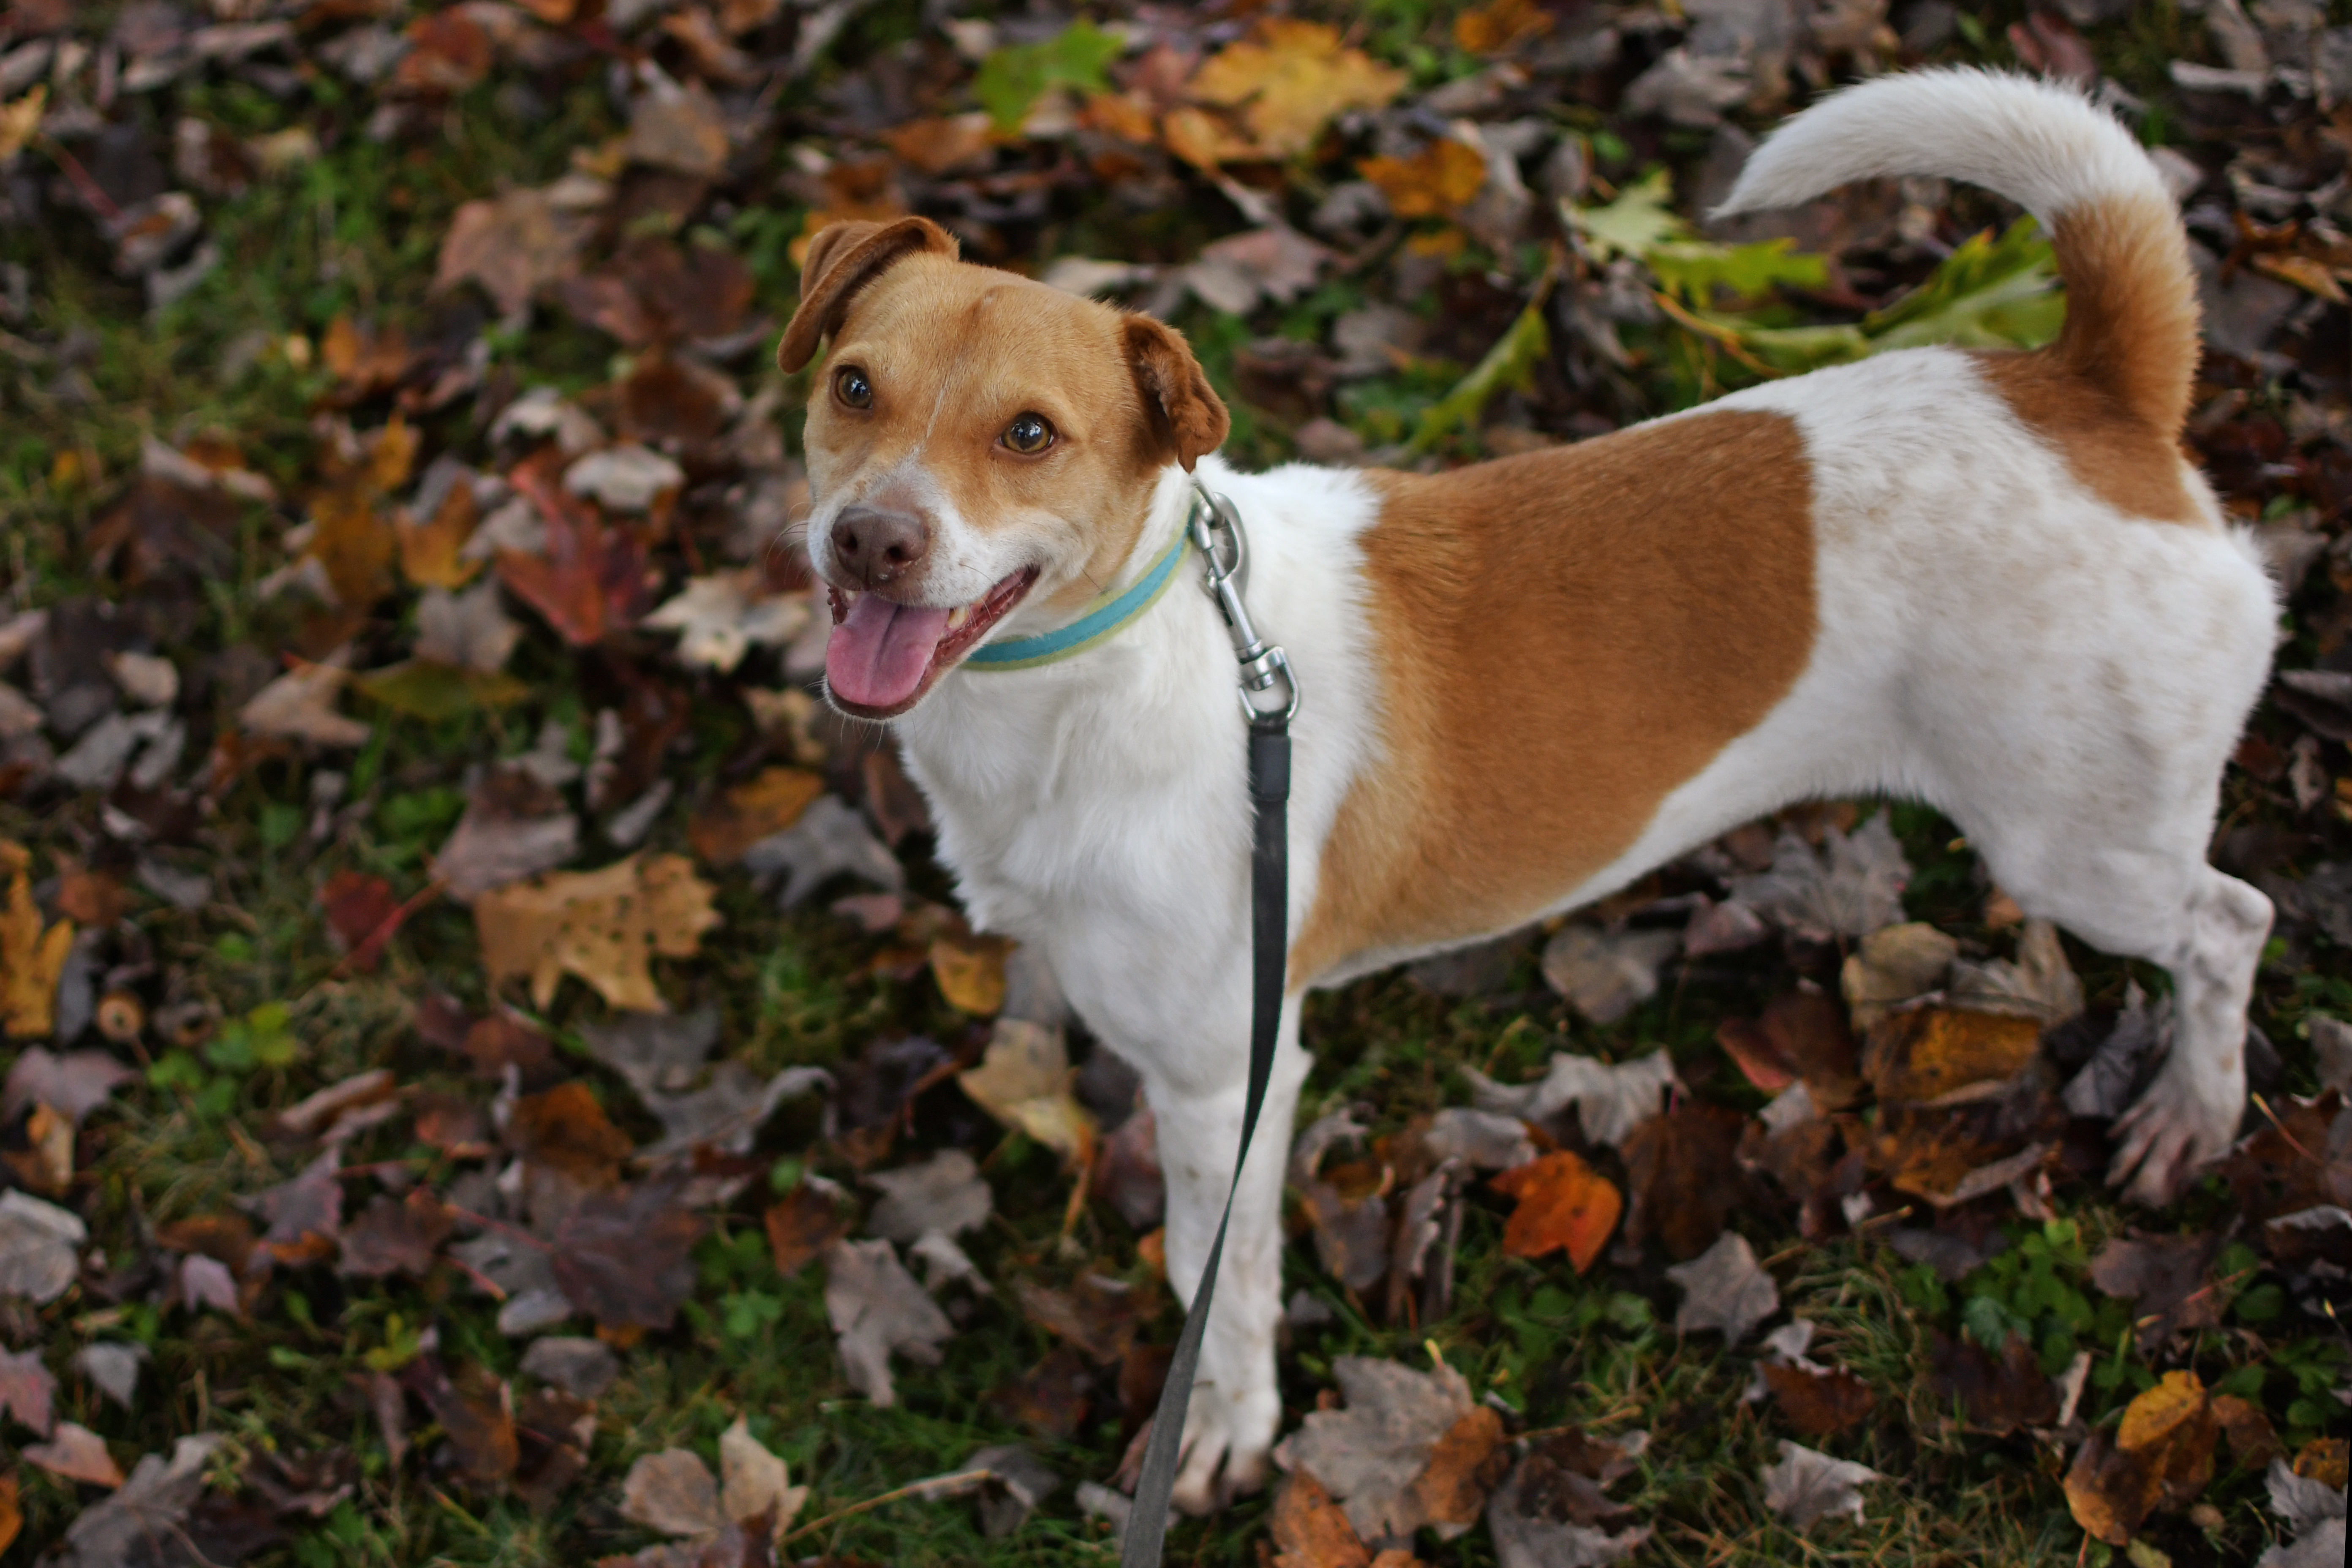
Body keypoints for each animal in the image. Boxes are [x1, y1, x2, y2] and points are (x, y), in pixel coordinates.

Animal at [785, 70, 2276, 1504]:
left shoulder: (1228, 1075)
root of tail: (2089, 388)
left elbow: (1222, 1278)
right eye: (853, 387)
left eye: (1030, 433)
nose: (870, 540)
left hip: (2070, 840)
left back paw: (2192, 1112)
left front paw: (1222, 1427)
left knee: (2231, 922)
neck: (1119, 664)